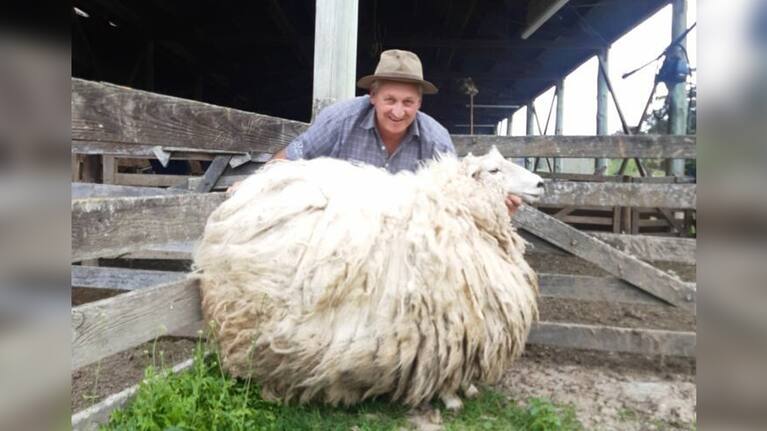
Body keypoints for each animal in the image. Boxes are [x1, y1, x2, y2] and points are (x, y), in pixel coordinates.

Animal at [192, 146, 544, 410]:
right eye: (494, 170)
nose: (541, 183)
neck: (460, 210)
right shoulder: (454, 322)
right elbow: (449, 367)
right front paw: (452, 398)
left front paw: (465, 391)